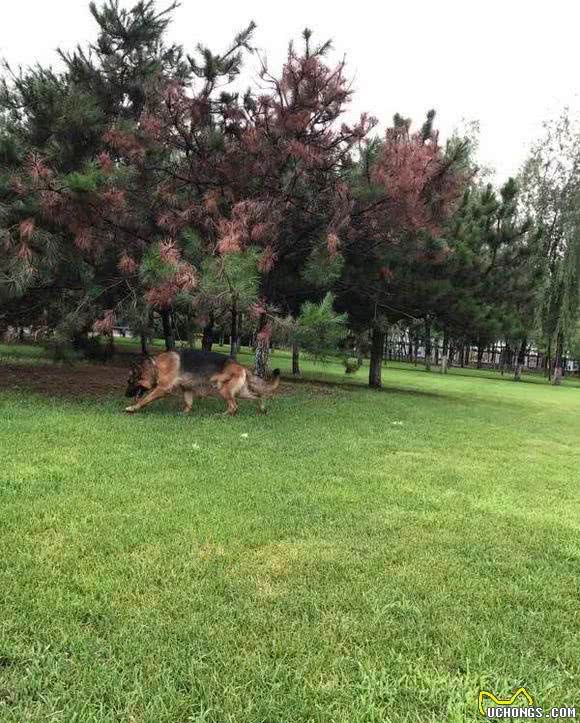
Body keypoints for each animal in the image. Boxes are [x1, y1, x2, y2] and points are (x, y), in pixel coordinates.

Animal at [125, 350, 280, 416]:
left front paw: (133, 407)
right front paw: (184, 413)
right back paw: (263, 409)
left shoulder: (162, 388)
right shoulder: (186, 389)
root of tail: (240, 366)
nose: (126, 395)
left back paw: (221, 416)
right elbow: (188, 403)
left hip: (223, 390)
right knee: (258, 396)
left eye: (130, 382)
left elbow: (145, 400)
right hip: (240, 392)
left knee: (234, 406)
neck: (155, 367)